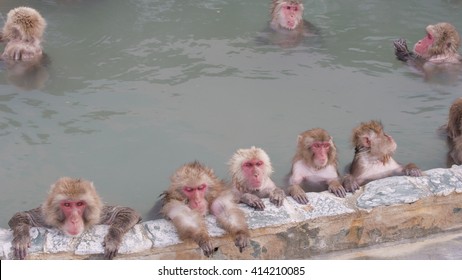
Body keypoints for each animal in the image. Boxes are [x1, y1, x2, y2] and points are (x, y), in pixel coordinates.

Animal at [7, 177, 141, 260]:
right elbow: (22, 216)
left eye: (79, 204)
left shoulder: (100, 215)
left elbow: (128, 211)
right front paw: (21, 238)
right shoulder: (43, 216)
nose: (74, 220)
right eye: (67, 205)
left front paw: (113, 238)